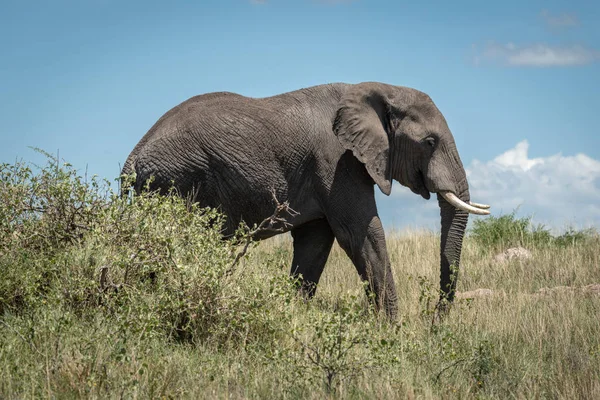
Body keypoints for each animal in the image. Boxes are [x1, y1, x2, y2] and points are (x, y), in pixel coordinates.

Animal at [122, 82, 488, 318]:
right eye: (429, 142)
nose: (435, 322)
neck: (376, 89)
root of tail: (133, 156)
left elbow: (315, 243)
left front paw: (294, 315)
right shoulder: (336, 160)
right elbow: (361, 233)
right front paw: (392, 330)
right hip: (177, 181)